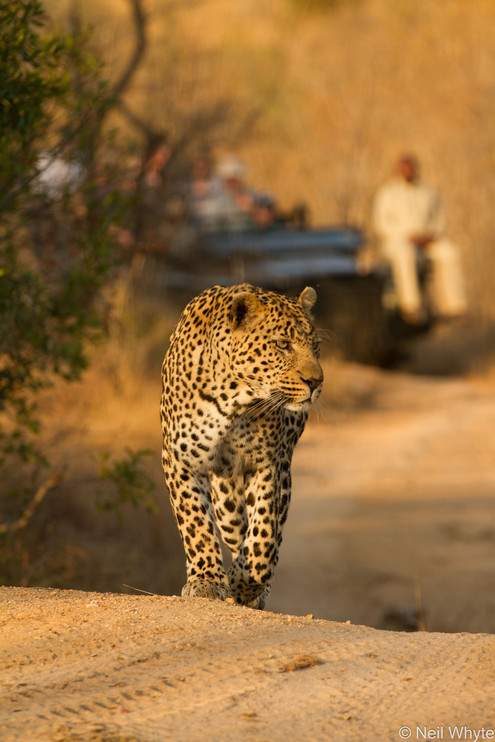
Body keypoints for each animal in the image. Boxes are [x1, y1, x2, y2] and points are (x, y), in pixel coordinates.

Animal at [160, 283, 323, 609]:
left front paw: (244, 582)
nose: (316, 381)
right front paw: (207, 580)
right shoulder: (178, 460)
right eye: (282, 344)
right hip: (225, 498)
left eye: (316, 347)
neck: (233, 399)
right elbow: (195, 524)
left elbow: (263, 537)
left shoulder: (267, 464)